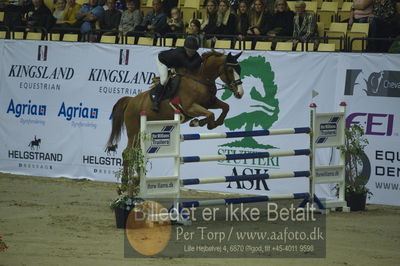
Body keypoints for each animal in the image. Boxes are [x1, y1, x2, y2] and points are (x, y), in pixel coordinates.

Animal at [107, 50, 244, 169]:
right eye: (230, 70)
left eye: (239, 69)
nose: (240, 93)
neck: (201, 79)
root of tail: (130, 101)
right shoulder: (190, 107)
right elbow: (210, 114)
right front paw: (198, 123)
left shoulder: (210, 102)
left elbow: (225, 107)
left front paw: (215, 123)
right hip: (134, 132)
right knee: (127, 153)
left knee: (134, 153)